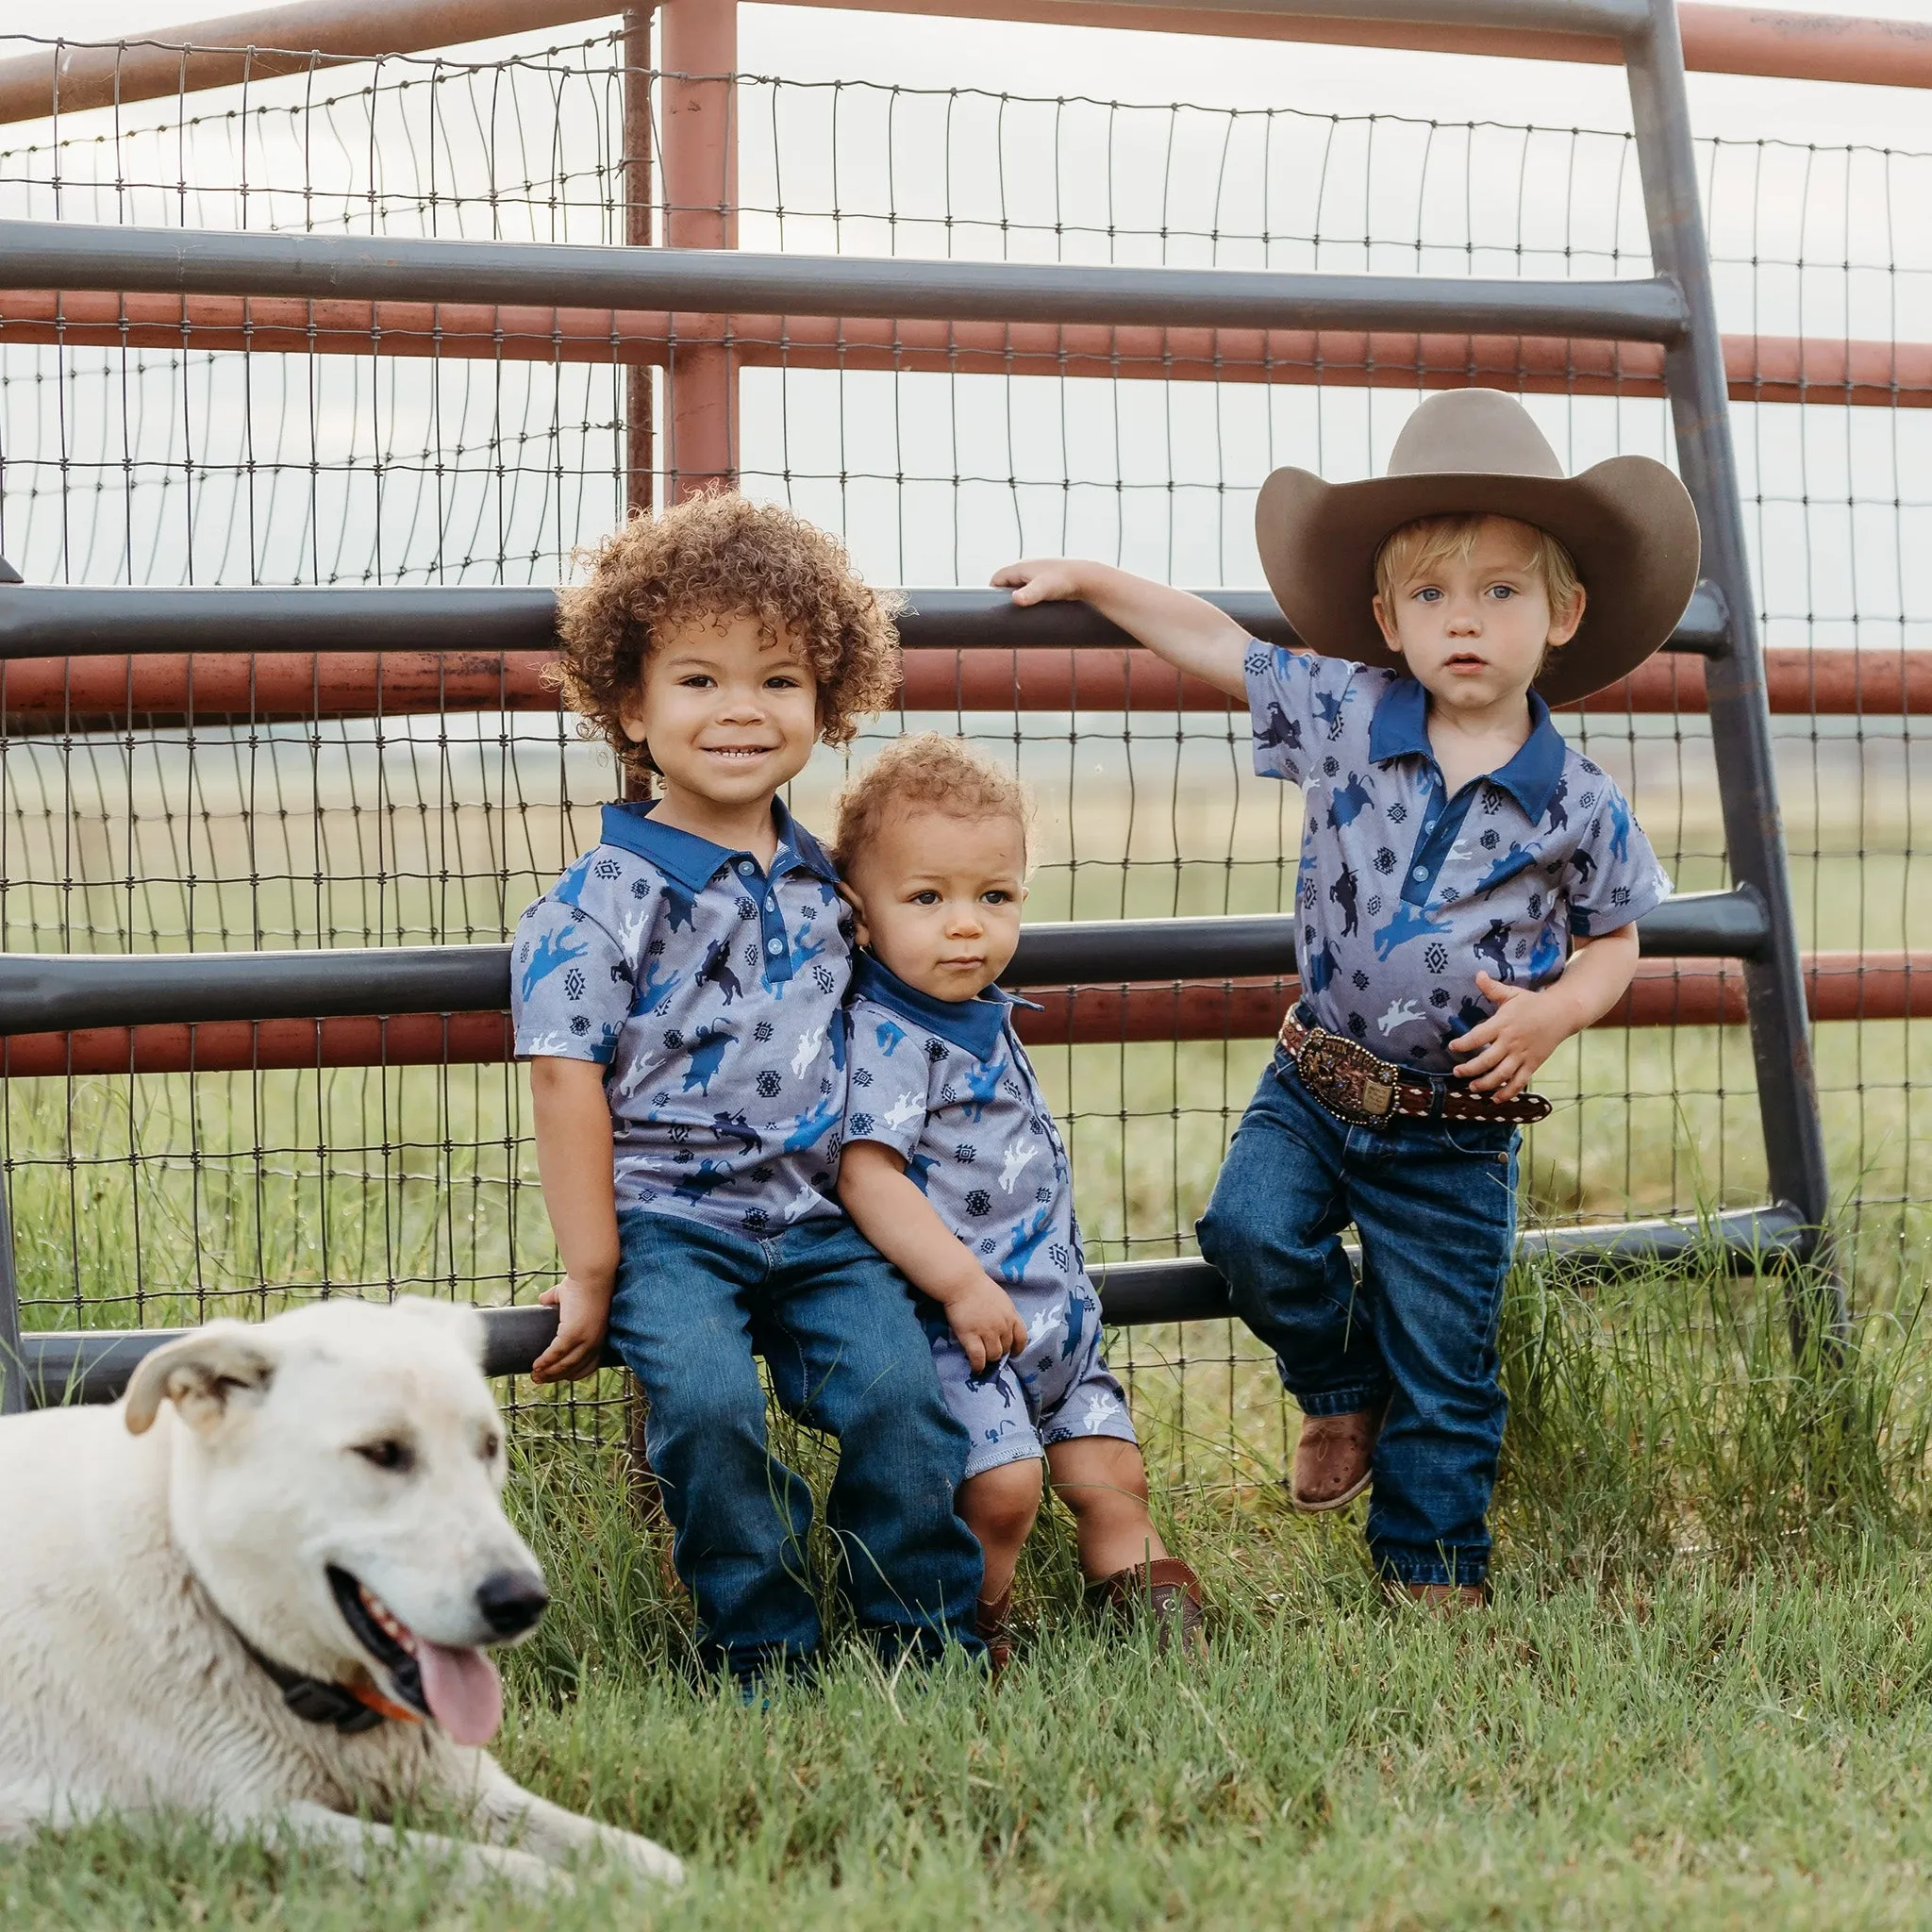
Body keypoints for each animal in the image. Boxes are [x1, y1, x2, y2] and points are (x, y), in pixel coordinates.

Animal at [0, 1298, 688, 1885]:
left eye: (489, 1447)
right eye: (381, 1452)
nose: (521, 1601)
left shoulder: (469, 1786)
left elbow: (646, 1858)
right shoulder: (250, 1823)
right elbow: (505, 1869)